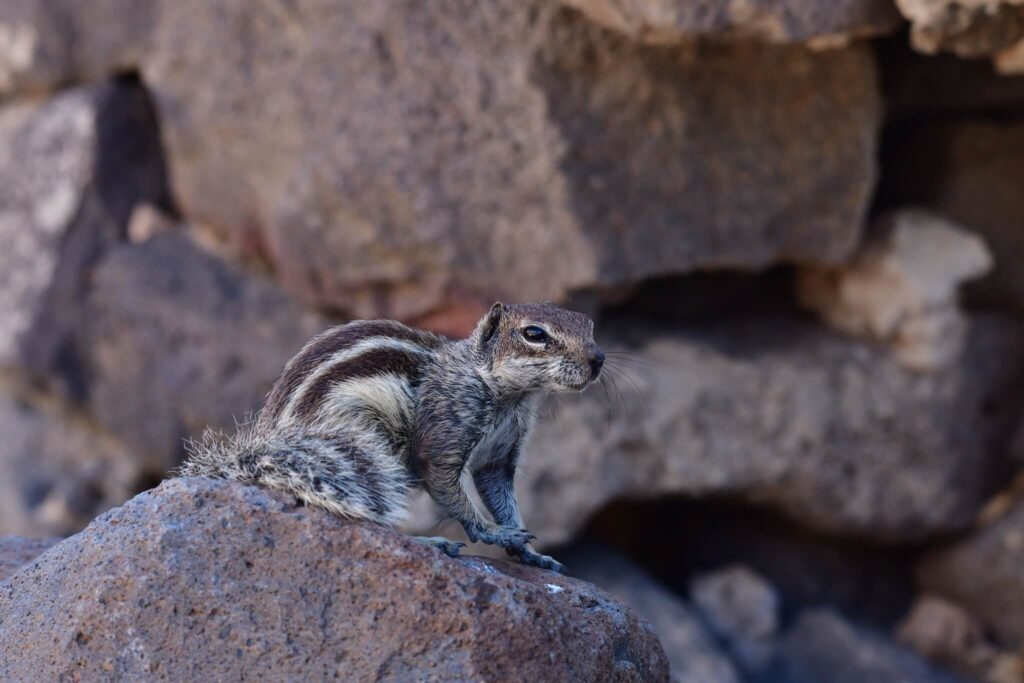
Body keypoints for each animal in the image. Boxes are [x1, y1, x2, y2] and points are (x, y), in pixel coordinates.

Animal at [180, 301, 602, 573]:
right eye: (534, 334)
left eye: (589, 326)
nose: (597, 359)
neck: (507, 395)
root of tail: (264, 443)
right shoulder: (444, 433)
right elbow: (450, 489)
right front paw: (494, 532)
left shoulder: (499, 457)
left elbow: (502, 496)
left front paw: (530, 551)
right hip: (359, 449)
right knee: (371, 516)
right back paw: (429, 543)